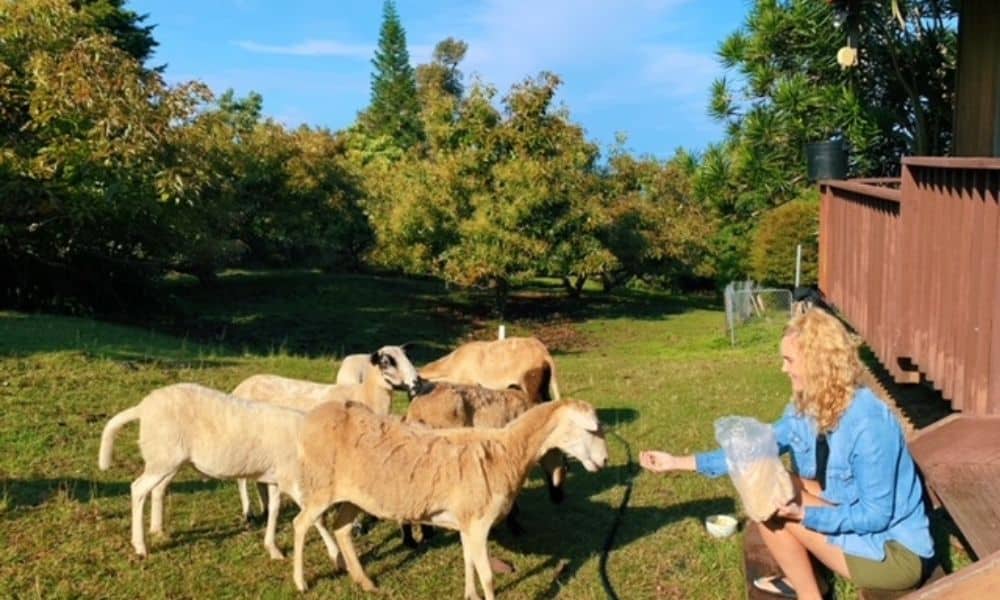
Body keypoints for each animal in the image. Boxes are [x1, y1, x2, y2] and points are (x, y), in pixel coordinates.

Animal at [96, 382, 342, 564]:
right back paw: (140, 547)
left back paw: (157, 531)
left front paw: (273, 548)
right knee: (137, 489)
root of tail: (143, 408)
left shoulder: (275, 477)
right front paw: (336, 556)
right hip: (163, 457)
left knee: (156, 489)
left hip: (166, 460)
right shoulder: (292, 477)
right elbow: (315, 516)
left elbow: (274, 510)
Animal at [286, 398, 604, 600]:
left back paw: (364, 582)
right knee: (300, 523)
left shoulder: (467, 522)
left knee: (341, 528)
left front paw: (470, 594)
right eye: (589, 429)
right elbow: (487, 575)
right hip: (320, 486)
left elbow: (469, 562)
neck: (509, 452)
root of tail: (313, 416)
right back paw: (301, 583)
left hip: (355, 495)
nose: (604, 460)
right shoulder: (478, 521)